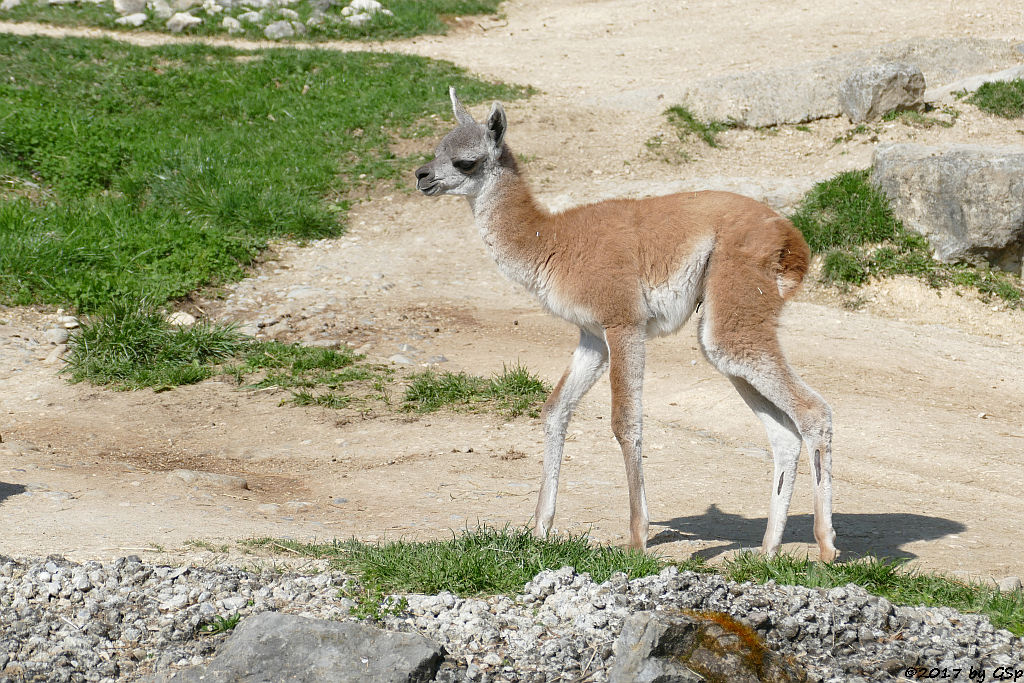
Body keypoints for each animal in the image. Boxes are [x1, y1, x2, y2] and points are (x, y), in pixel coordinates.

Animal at [415, 89, 839, 561]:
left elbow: (625, 423)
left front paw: (636, 537)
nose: (421, 175)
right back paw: (767, 552)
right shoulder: (592, 336)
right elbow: (554, 410)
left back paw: (826, 546)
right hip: (730, 330)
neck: (550, 241)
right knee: (784, 434)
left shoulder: (623, 322)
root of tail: (793, 239)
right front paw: (540, 528)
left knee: (814, 411)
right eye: (437, 148)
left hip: (736, 311)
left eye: (464, 162)